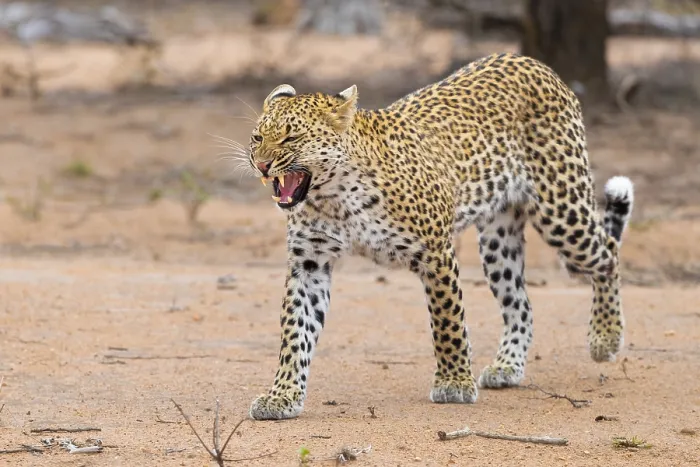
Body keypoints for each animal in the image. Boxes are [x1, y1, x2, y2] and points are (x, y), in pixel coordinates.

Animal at [240, 52, 634, 420]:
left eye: (291, 137)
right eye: (257, 137)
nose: (260, 164)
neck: (335, 198)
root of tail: (532, 61)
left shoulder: (436, 252)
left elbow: (448, 321)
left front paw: (454, 383)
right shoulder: (309, 263)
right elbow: (295, 333)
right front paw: (282, 396)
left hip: (562, 211)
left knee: (607, 252)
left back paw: (606, 337)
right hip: (499, 241)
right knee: (520, 303)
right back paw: (507, 366)